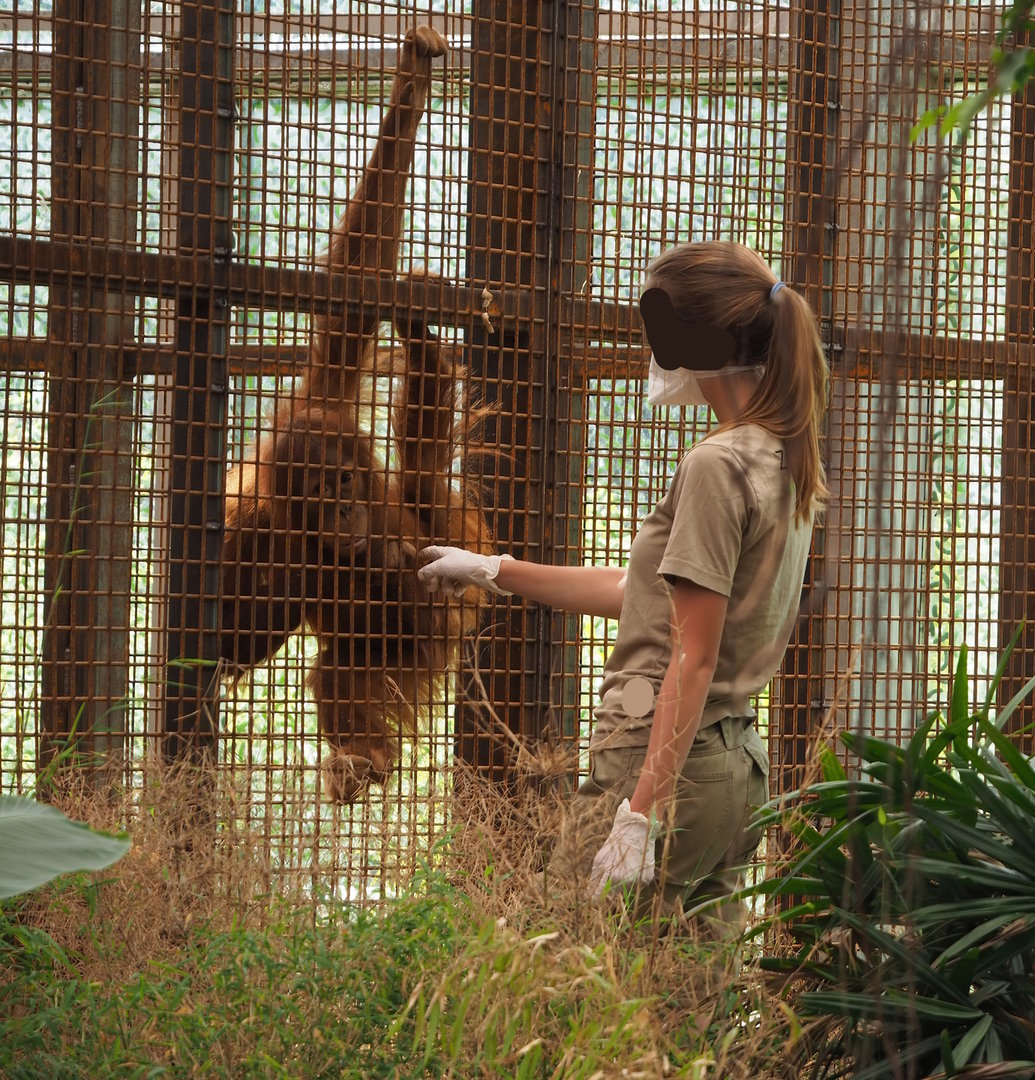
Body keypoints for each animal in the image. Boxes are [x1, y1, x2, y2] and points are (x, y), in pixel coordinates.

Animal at [220, 26, 492, 802]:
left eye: (343, 482)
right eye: (319, 493)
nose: (344, 513)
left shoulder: (328, 398)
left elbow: (353, 288)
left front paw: (415, 73)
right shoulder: (251, 523)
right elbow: (233, 643)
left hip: (452, 603)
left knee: (427, 488)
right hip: (388, 660)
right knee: (338, 664)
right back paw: (362, 760)